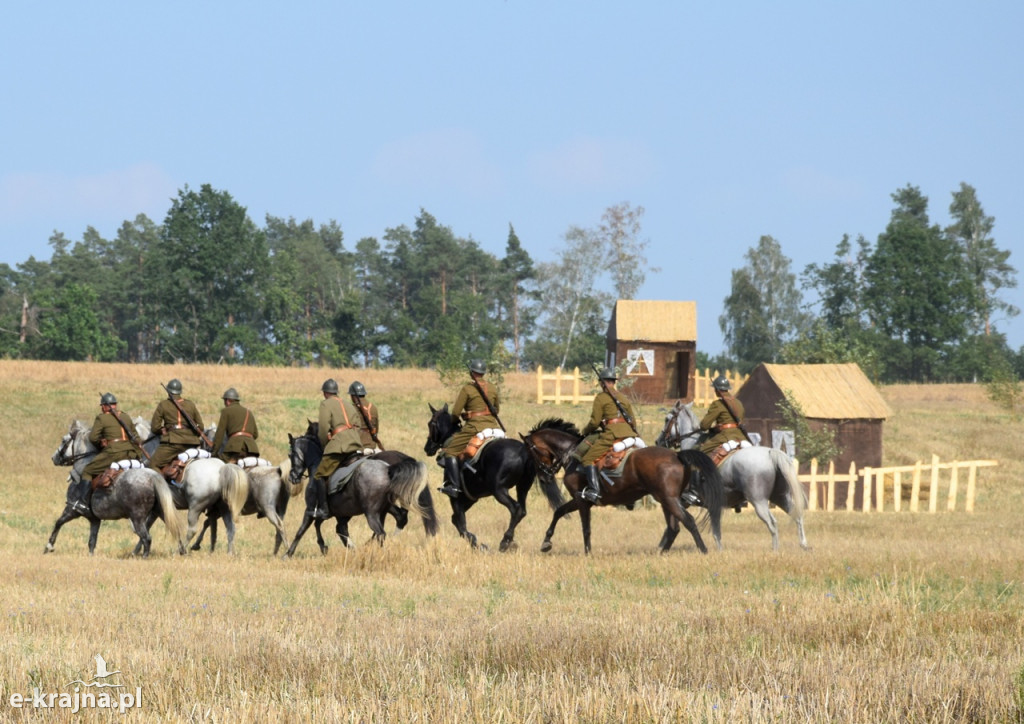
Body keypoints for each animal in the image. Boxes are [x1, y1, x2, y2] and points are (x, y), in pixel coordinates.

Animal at [47, 419, 186, 557]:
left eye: (64, 440)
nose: (53, 458)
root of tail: (152, 476)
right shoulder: (94, 519)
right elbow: (92, 541)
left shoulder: (72, 510)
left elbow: (58, 523)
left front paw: (49, 546)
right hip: (161, 513)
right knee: (175, 531)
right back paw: (182, 551)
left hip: (138, 518)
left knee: (147, 538)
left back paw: (143, 556)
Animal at [423, 405, 569, 552]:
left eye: (430, 423)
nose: (427, 448)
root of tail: (524, 450)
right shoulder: (471, 498)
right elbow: (456, 520)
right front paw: (476, 543)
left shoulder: (456, 497)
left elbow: (461, 523)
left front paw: (476, 542)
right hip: (522, 487)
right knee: (522, 510)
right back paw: (511, 541)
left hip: (499, 490)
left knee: (516, 509)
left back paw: (505, 541)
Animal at [520, 419, 729, 557]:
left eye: (531, 452)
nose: (544, 477)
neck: (572, 454)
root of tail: (677, 455)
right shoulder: (580, 499)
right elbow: (559, 512)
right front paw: (546, 542)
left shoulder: (582, 500)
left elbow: (585, 527)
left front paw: (587, 553)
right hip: (666, 501)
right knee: (673, 528)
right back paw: (661, 553)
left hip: (669, 500)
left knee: (688, 522)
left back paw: (703, 550)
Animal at [655, 401, 806, 548]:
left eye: (667, 419)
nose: (658, 441)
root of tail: (770, 453)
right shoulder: (705, 504)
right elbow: (714, 532)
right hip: (780, 497)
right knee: (797, 516)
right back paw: (804, 545)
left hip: (759, 501)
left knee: (772, 523)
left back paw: (775, 550)